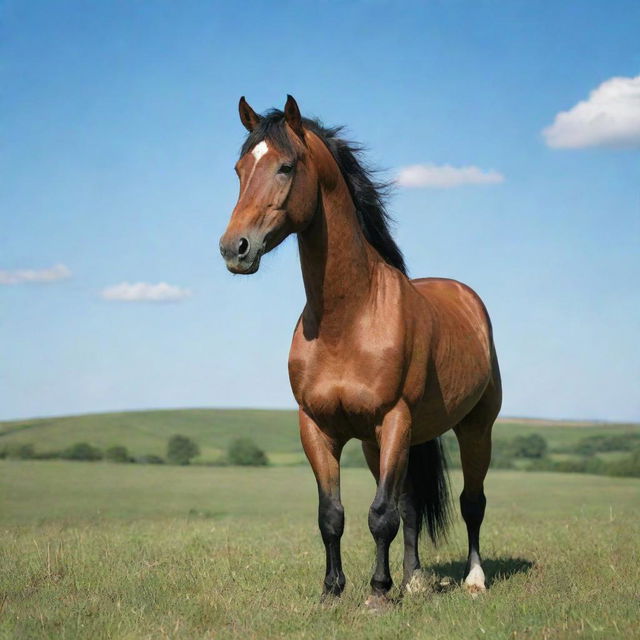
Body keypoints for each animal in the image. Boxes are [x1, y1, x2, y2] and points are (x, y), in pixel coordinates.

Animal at [219, 95, 500, 608]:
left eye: (286, 166)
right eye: (239, 169)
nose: (235, 248)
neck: (346, 322)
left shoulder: (394, 419)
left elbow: (379, 515)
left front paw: (378, 593)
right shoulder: (318, 428)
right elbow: (333, 514)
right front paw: (333, 591)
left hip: (474, 428)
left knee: (472, 503)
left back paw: (474, 579)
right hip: (384, 443)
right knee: (411, 505)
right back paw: (414, 579)